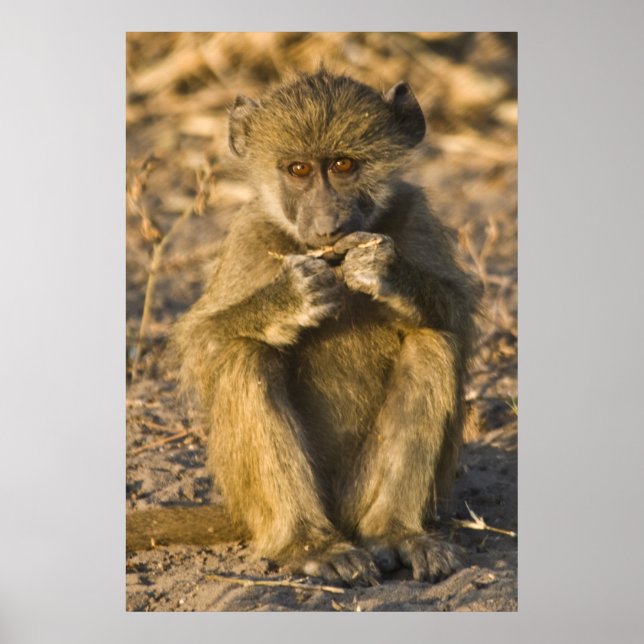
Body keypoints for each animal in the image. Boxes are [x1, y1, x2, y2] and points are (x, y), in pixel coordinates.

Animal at [127, 70, 480, 587]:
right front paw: (291, 297)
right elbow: (202, 344)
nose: (328, 225)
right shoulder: (249, 234)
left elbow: (459, 315)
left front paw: (384, 271)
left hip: (355, 495)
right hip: (257, 499)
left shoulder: (413, 214)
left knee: (432, 341)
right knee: (244, 356)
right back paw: (309, 545)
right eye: (298, 170)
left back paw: (395, 533)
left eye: (343, 164)